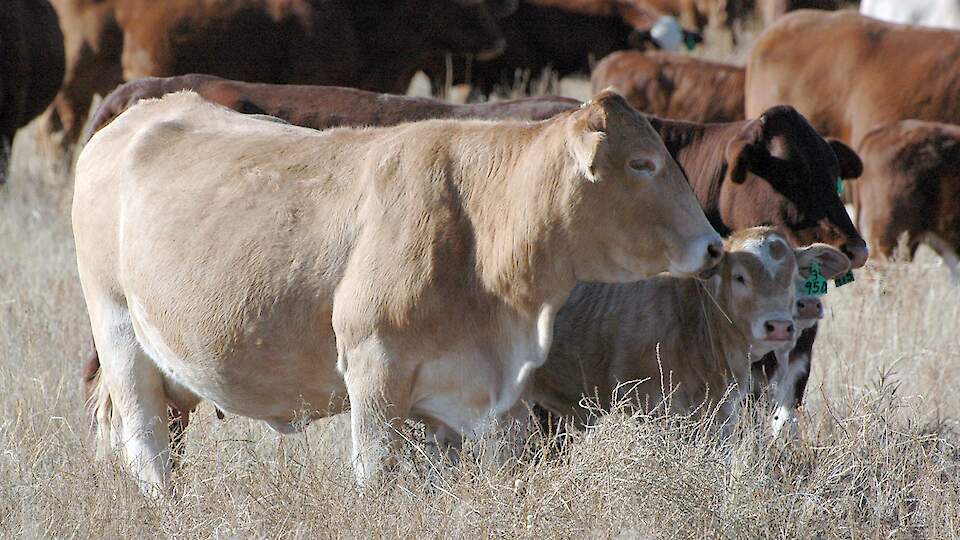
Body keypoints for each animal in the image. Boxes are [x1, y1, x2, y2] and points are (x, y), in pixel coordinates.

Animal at [74, 90, 723, 492]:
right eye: (642, 164)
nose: (715, 246)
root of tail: (131, 121)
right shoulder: (375, 370)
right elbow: (375, 472)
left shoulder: (491, 400)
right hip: (121, 337)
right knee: (147, 448)